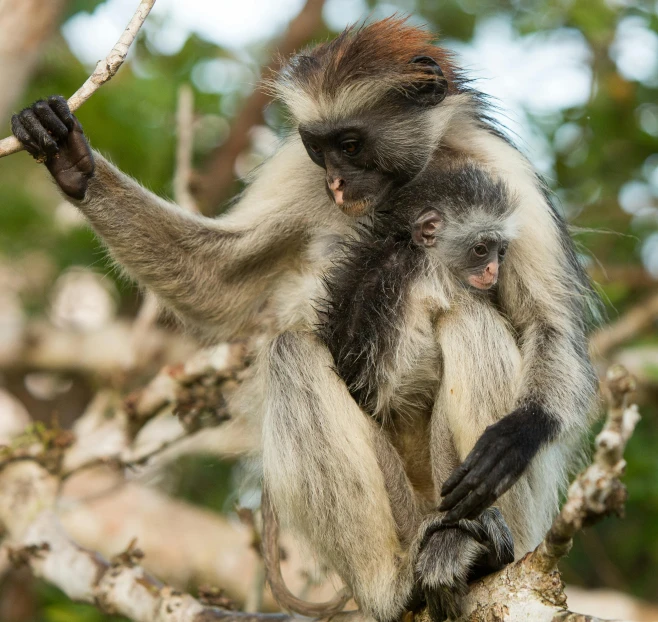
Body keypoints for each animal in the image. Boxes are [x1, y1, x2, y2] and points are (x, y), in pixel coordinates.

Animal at [11, 19, 596, 622]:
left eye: (352, 144)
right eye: (322, 149)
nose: (336, 184)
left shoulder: (505, 174)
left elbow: (550, 326)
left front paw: (518, 432)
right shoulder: (300, 165)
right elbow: (219, 281)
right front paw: (72, 161)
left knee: (472, 323)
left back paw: (468, 545)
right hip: (402, 507)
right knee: (292, 351)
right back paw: (393, 587)